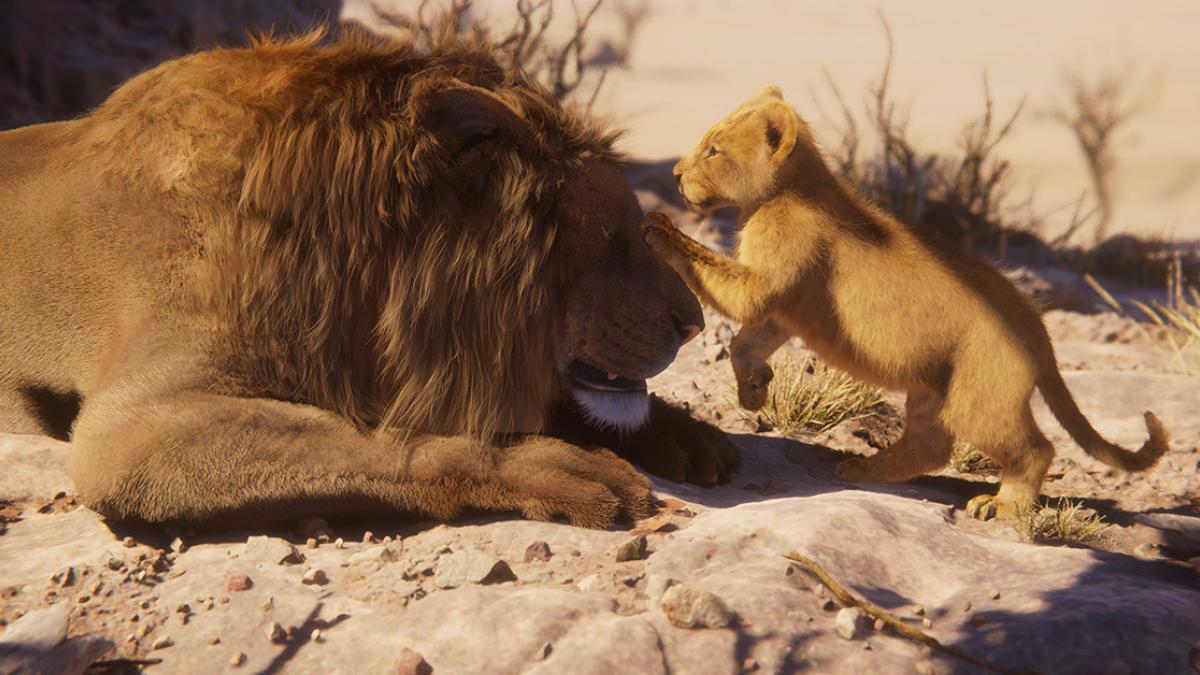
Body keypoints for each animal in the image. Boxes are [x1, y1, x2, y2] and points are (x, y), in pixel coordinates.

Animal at [0, 28, 740, 530]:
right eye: (613, 238)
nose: (694, 325)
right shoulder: (126, 430)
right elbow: (382, 441)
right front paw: (561, 465)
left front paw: (680, 433)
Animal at [641, 86, 1169, 520]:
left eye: (713, 149)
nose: (675, 174)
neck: (783, 191)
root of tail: (1038, 329)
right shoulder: (787, 306)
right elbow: (746, 343)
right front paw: (754, 389)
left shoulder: (767, 279)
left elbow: (721, 281)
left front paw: (661, 230)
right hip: (934, 388)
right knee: (929, 446)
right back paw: (865, 469)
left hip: (979, 396)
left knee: (1034, 449)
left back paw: (1002, 506)